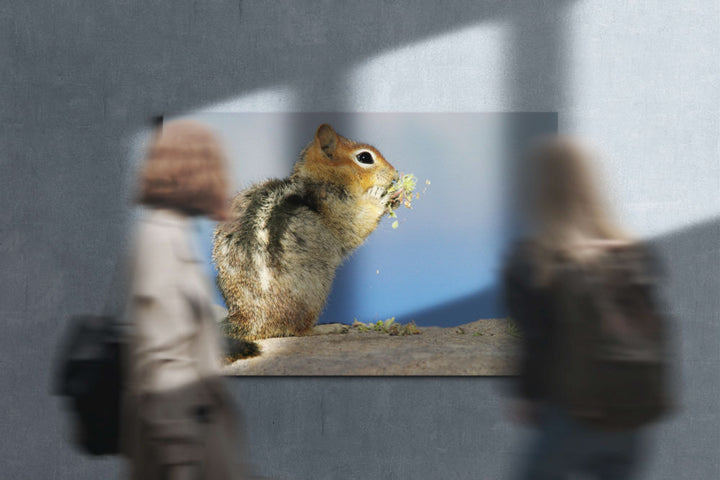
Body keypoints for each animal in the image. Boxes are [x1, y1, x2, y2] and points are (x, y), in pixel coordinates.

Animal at [214, 124, 404, 342]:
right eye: (365, 157)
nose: (396, 175)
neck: (322, 178)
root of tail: (248, 319)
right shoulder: (338, 208)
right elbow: (356, 226)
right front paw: (380, 197)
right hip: (316, 287)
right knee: (298, 330)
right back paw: (328, 328)